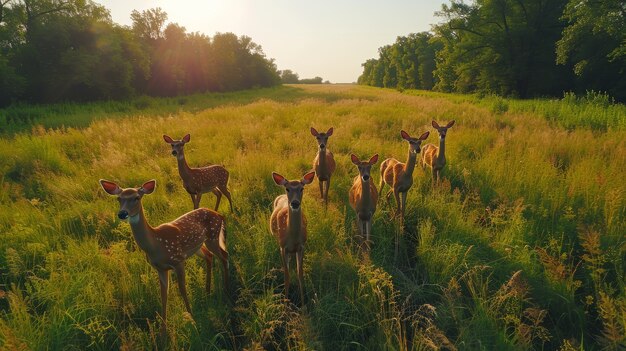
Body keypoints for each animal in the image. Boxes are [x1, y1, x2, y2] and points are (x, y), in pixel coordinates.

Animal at [96, 180, 225, 336]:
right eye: (119, 199)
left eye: (137, 197)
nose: (122, 213)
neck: (156, 244)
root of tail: (219, 215)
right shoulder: (160, 268)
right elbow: (163, 295)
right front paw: (163, 331)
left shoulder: (178, 260)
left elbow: (182, 289)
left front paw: (192, 319)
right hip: (199, 246)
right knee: (210, 256)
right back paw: (208, 291)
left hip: (213, 236)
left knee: (224, 256)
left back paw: (227, 288)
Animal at [270, 171, 316, 306]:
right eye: (288, 188)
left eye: (302, 188)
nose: (295, 203)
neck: (292, 238)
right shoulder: (282, 247)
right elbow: (286, 276)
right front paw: (285, 304)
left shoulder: (301, 247)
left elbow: (300, 275)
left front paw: (304, 304)